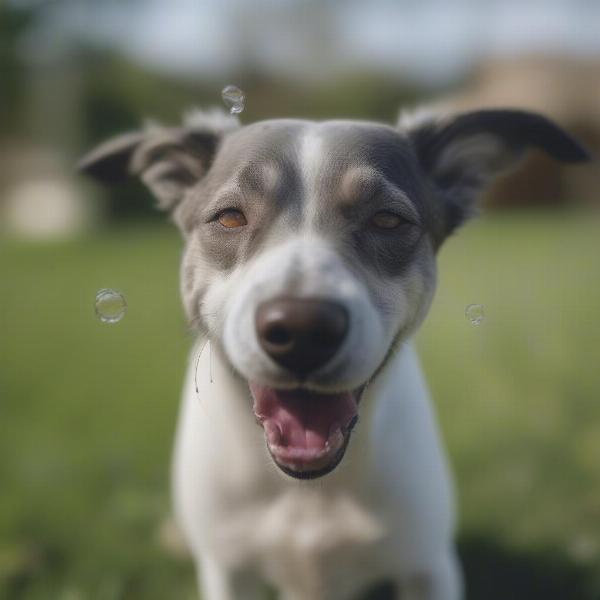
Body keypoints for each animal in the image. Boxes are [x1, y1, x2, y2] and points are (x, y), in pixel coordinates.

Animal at [78, 105, 584, 596]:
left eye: (388, 219)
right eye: (229, 217)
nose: (302, 329)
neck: (308, 494)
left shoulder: (427, 567)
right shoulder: (228, 570)